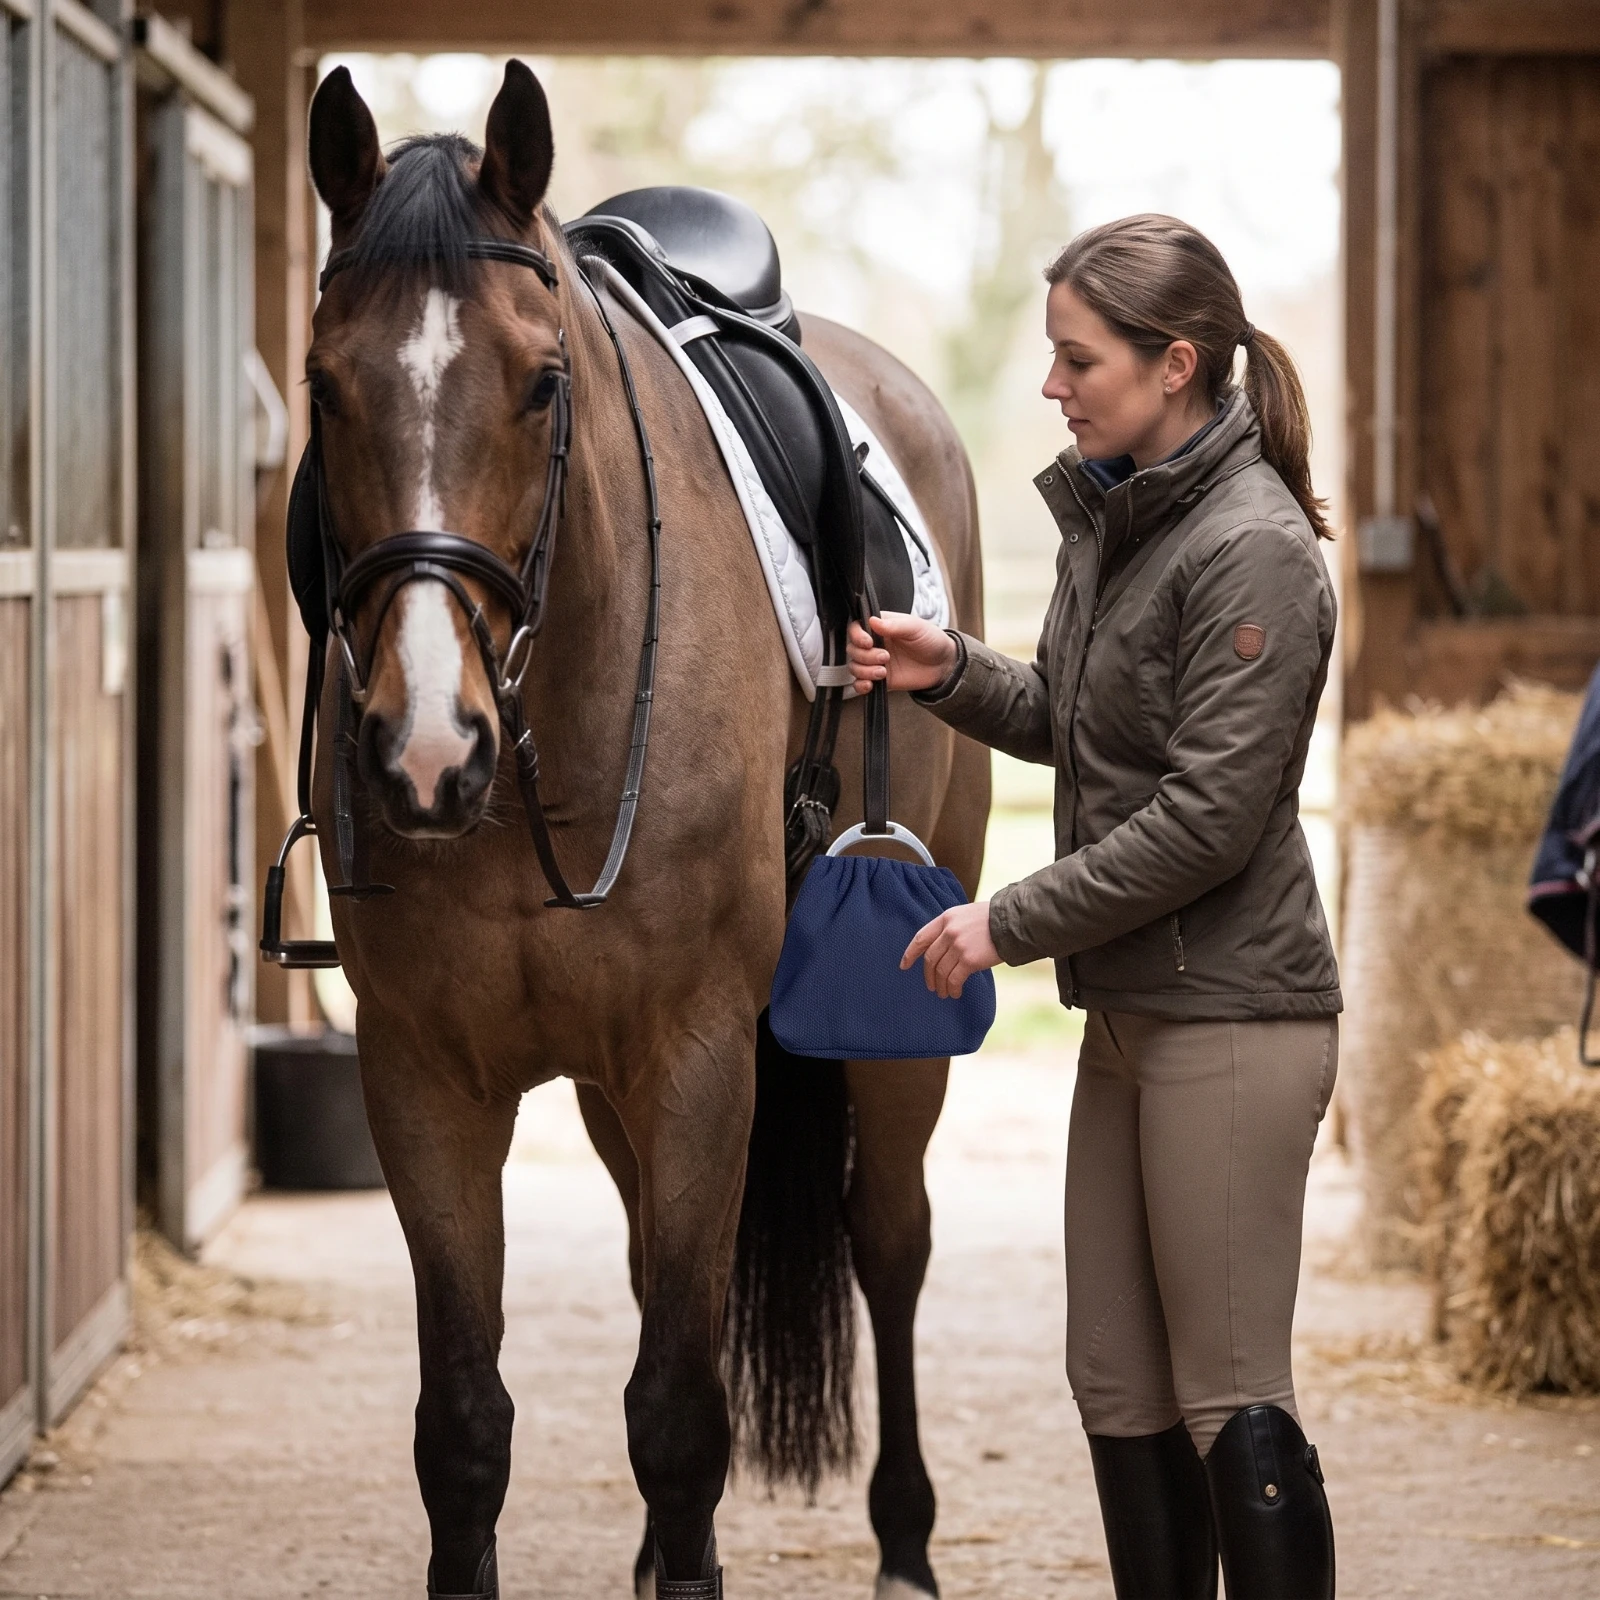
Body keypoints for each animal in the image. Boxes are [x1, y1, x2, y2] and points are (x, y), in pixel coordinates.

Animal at [303, 59, 990, 1599]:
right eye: (323, 387)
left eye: (542, 380)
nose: (426, 751)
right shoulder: (420, 1076)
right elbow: (464, 1428)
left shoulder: (695, 1059)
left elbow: (680, 1412)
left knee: (893, 1243)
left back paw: (906, 1542)